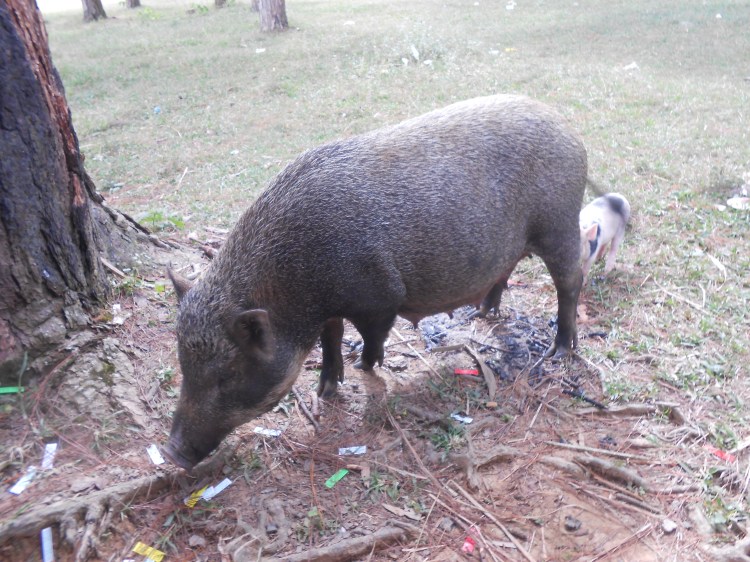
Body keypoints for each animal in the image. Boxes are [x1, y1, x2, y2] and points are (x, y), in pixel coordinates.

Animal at [163, 94, 588, 470]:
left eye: (226, 375)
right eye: (184, 366)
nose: (171, 453)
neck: (296, 284)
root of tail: (567, 126)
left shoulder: (382, 296)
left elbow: (371, 338)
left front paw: (364, 367)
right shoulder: (330, 308)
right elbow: (331, 338)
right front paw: (326, 389)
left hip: (560, 222)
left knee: (571, 282)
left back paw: (558, 352)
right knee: (506, 271)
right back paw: (480, 314)